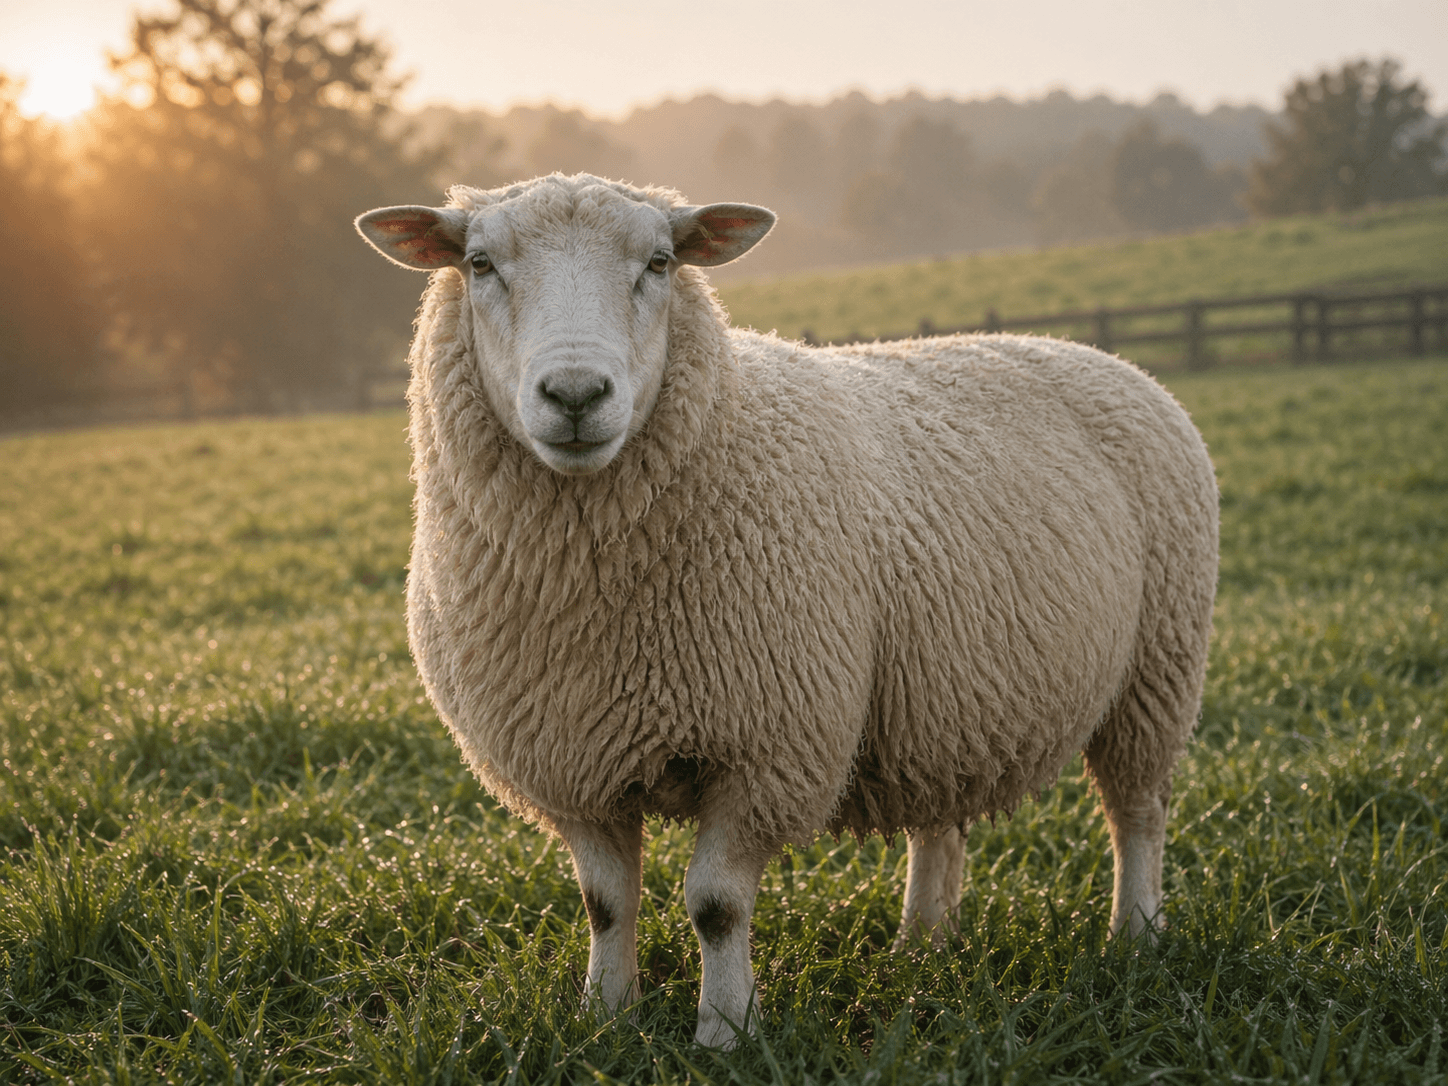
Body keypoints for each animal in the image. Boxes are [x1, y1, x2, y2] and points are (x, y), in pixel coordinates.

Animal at [355, 173, 1219, 1048]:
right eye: (479, 263)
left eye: (660, 262)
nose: (574, 395)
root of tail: (1106, 357)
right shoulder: (570, 758)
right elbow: (605, 904)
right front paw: (606, 1017)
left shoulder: (767, 748)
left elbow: (715, 904)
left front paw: (725, 1032)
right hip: (948, 697)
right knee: (941, 822)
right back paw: (920, 948)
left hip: (1159, 664)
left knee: (1138, 811)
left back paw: (1135, 937)